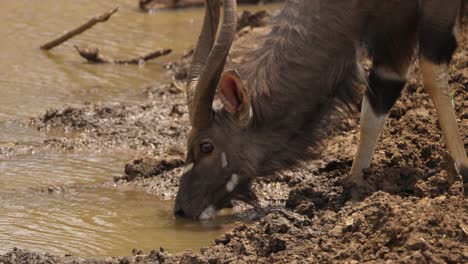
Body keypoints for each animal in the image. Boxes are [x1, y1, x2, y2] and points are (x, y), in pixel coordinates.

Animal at [174, 0, 466, 219]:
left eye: (206, 146)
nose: (181, 209)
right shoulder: (394, 38)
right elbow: (378, 100)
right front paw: (353, 187)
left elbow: (431, 72)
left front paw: (463, 171)